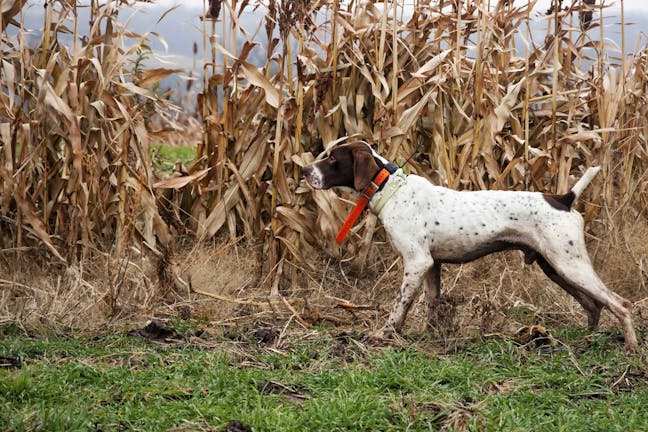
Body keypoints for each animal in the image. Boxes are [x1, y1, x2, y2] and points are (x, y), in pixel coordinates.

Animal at [302, 140, 636, 352]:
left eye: (332, 158)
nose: (304, 170)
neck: (390, 187)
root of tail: (563, 198)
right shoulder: (431, 266)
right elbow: (432, 305)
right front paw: (432, 337)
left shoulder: (416, 262)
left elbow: (400, 307)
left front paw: (383, 335)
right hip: (556, 266)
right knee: (594, 305)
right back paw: (585, 340)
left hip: (569, 264)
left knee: (619, 303)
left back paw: (631, 348)